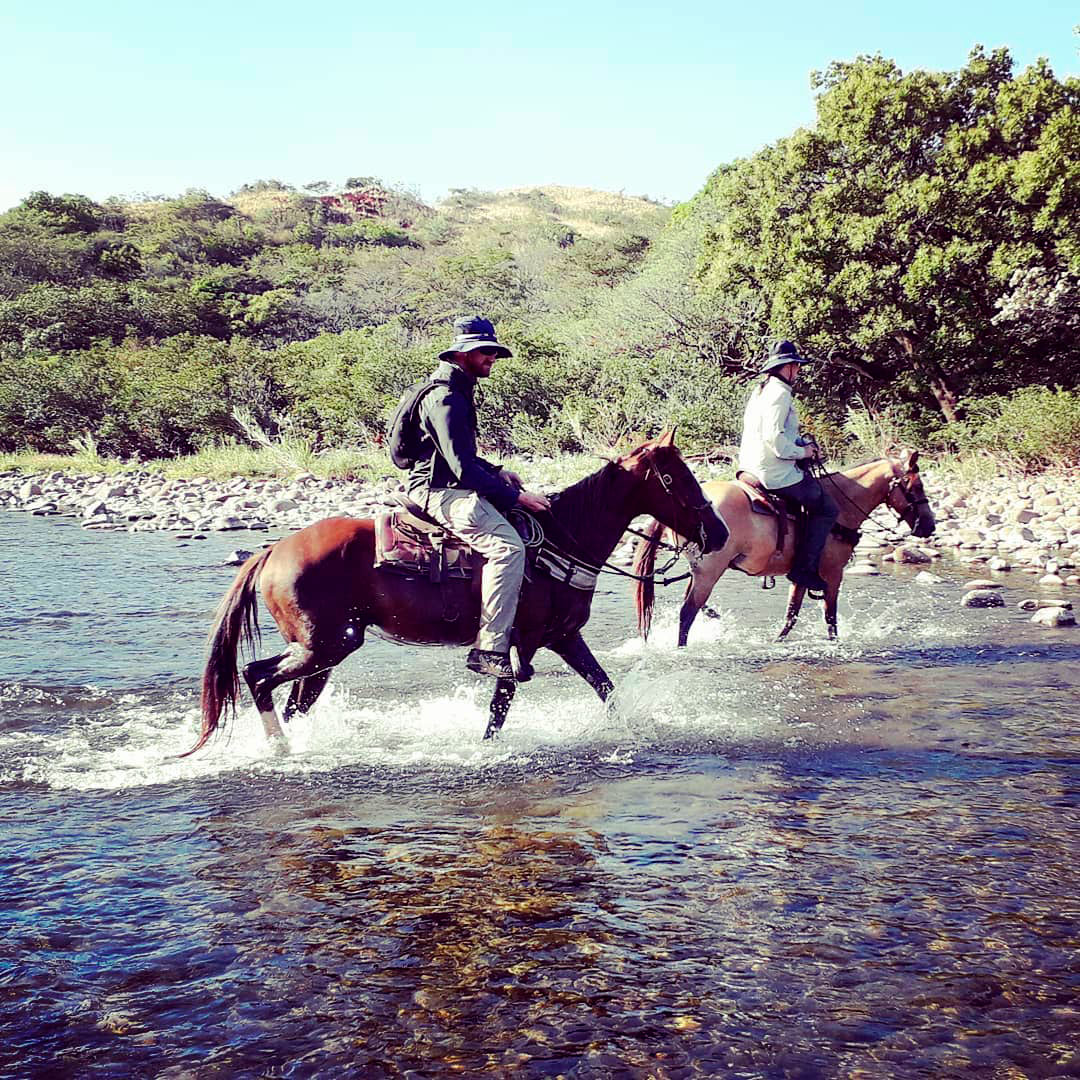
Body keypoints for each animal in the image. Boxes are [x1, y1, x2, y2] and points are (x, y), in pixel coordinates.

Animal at [185, 429, 730, 751]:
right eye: (676, 477)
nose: (720, 533)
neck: (564, 536)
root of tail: (271, 552)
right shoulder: (519, 645)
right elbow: (500, 706)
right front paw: (486, 752)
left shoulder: (564, 637)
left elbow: (607, 689)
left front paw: (642, 730)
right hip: (324, 644)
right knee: (257, 678)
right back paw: (279, 751)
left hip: (326, 649)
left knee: (295, 699)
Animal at [635, 449, 933, 643]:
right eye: (916, 486)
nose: (929, 526)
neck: (841, 505)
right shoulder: (833, 574)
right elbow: (830, 618)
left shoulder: (800, 575)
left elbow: (791, 615)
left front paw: (777, 641)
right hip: (710, 570)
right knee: (687, 613)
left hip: (701, 569)